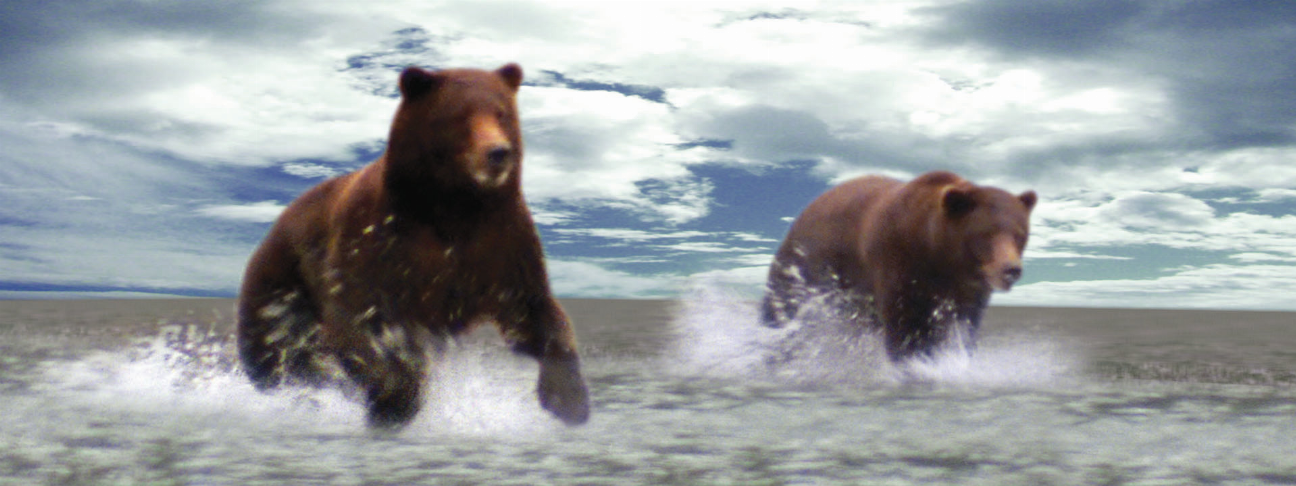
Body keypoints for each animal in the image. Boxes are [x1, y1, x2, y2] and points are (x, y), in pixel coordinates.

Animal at [236, 64, 590, 429]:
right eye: (460, 115)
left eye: (501, 113)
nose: (498, 153)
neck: (454, 205)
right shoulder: (376, 240)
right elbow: (359, 320)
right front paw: (397, 399)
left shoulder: (501, 243)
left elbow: (534, 313)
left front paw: (568, 401)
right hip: (278, 286)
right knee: (274, 353)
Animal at [760, 170, 1036, 362]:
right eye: (985, 233)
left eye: (1020, 234)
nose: (1010, 269)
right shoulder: (899, 265)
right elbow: (905, 328)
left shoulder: (968, 292)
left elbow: (961, 330)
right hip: (804, 267)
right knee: (781, 308)